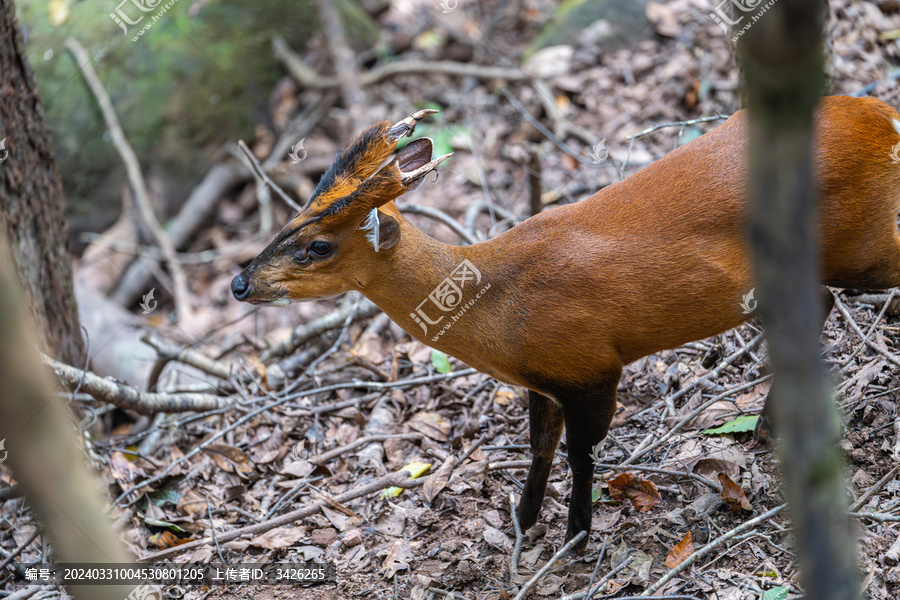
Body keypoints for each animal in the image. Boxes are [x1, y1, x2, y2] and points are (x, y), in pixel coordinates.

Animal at [232, 96, 900, 552]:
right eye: (288, 220)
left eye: (316, 246)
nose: (240, 283)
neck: (496, 306)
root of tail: (880, 113)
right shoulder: (544, 380)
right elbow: (541, 446)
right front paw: (523, 522)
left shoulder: (593, 365)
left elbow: (581, 452)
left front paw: (577, 536)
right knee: (814, 308)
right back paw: (768, 427)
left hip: (865, 245)